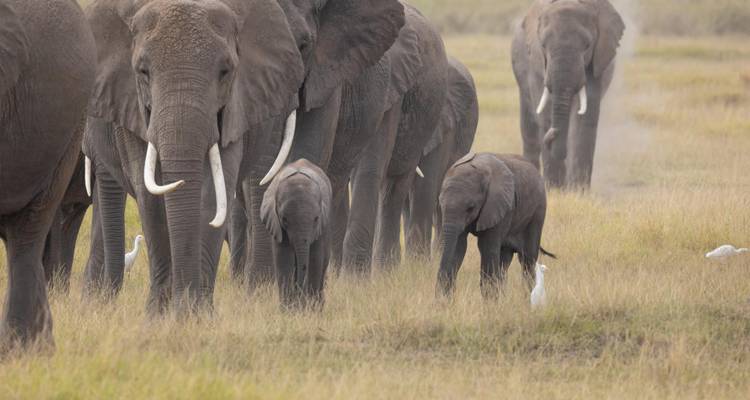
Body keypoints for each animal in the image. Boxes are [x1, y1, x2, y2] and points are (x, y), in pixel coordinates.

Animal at [83, 0, 304, 313]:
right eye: (143, 71)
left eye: (225, 71)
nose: (184, 305)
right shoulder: (129, 103)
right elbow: (149, 196)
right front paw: (161, 316)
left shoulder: (235, 105)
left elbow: (213, 193)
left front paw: (194, 314)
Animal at [261, 159, 332, 309]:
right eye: (284, 219)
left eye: (316, 219)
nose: (301, 300)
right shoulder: (277, 226)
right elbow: (284, 259)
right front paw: (289, 310)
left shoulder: (319, 228)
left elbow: (315, 258)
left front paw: (311, 309)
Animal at [436, 153, 555, 299]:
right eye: (441, 203)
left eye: (470, 208)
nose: (439, 299)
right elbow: (459, 246)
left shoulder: (500, 205)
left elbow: (487, 247)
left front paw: (489, 302)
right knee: (505, 260)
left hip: (538, 211)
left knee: (527, 258)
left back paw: (527, 297)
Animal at [511, 0, 625, 189]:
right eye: (543, 45)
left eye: (587, 46)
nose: (552, 135)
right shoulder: (536, 66)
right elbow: (546, 113)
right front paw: (555, 190)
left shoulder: (596, 64)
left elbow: (585, 118)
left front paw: (579, 191)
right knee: (529, 131)